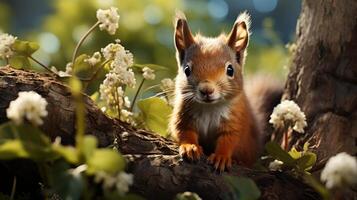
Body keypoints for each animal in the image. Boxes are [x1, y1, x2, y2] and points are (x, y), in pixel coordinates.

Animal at [170, 10, 264, 171]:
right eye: (187, 70)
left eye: (230, 70)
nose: (206, 90)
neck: (209, 108)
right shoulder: (183, 115)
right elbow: (183, 131)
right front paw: (190, 147)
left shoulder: (235, 120)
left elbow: (229, 139)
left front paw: (221, 157)